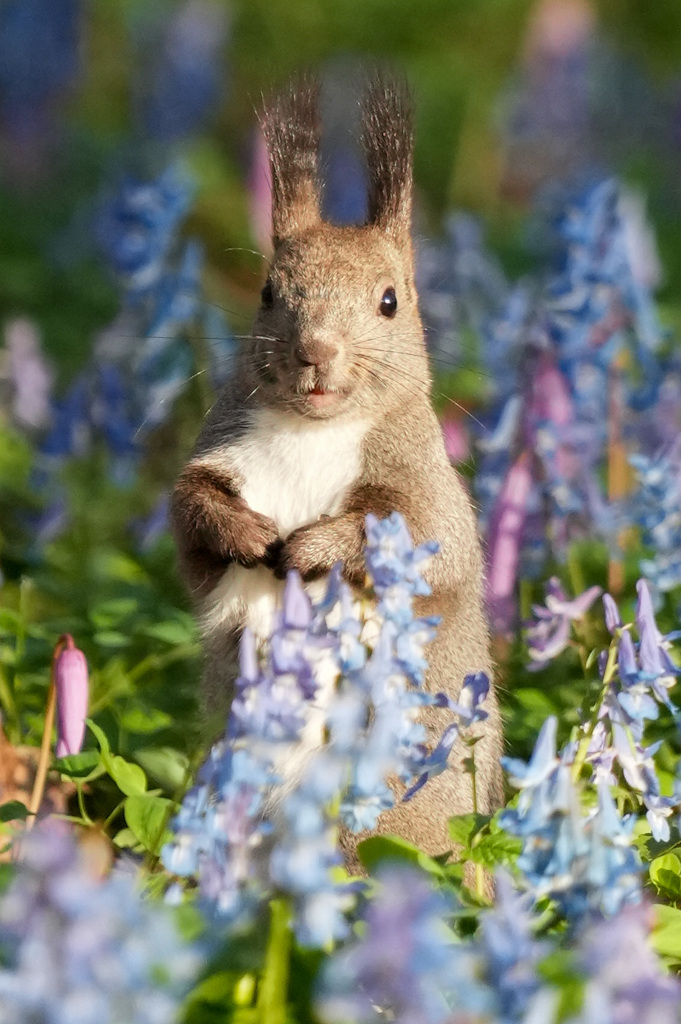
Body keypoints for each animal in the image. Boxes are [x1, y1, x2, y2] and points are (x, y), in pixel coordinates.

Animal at [168, 72, 503, 860]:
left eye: (389, 300)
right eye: (268, 291)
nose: (315, 351)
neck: (311, 432)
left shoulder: (427, 489)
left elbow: (421, 538)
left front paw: (312, 548)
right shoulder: (220, 456)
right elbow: (191, 515)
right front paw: (247, 533)